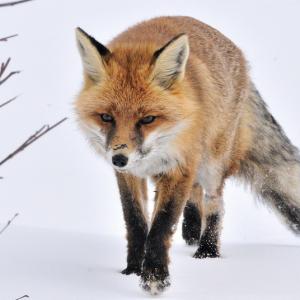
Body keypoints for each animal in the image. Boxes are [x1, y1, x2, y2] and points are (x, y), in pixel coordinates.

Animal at [74, 15, 298, 292]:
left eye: (147, 119)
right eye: (106, 117)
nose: (119, 159)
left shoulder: (180, 166)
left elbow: (161, 226)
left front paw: (155, 276)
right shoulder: (131, 175)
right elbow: (136, 222)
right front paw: (132, 270)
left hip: (212, 162)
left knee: (215, 202)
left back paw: (207, 251)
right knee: (195, 193)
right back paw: (191, 228)